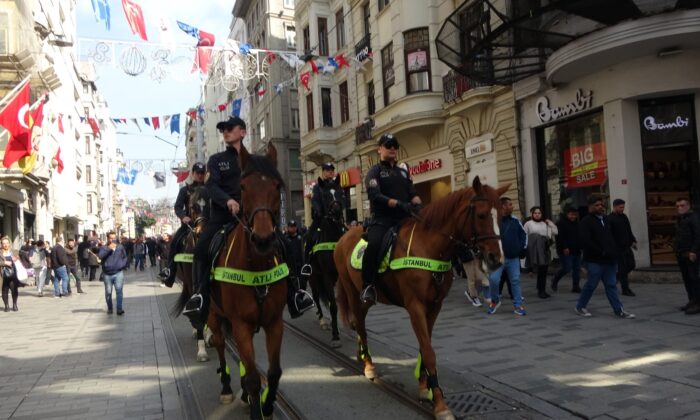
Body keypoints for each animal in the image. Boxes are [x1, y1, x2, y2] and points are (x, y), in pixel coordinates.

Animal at [178, 144, 290, 416]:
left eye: (277, 186)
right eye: (243, 187)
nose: (263, 239)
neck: (257, 266)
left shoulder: (274, 323)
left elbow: (273, 373)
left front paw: (266, 405)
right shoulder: (240, 325)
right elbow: (254, 377)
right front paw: (256, 406)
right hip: (214, 313)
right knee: (219, 342)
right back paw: (227, 387)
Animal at [334, 176, 508, 420]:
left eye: (501, 215)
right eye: (482, 215)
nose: (496, 259)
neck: (429, 246)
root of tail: (343, 237)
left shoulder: (434, 307)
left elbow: (424, 347)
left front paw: (425, 388)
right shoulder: (415, 306)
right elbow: (429, 351)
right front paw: (440, 405)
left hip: (365, 299)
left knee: (359, 324)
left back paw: (361, 356)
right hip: (352, 292)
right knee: (360, 325)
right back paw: (368, 365)